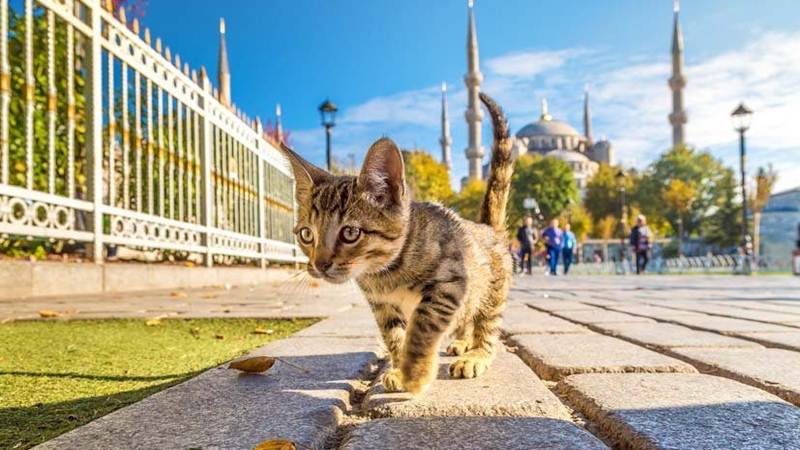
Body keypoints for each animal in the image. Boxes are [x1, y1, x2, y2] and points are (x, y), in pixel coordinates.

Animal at [280, 92, 512, 394]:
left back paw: (476, 354)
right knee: (466, 317)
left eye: (350, 233)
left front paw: (415, 372)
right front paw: (401, 368)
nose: (319, 265)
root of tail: (487, 226)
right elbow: (394, 335)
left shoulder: (449, 284)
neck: (386, 272)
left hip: (491, 290)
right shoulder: (382, 305)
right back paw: (462, 342)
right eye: (307, 235)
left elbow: (422, 327)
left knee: (486, 323)